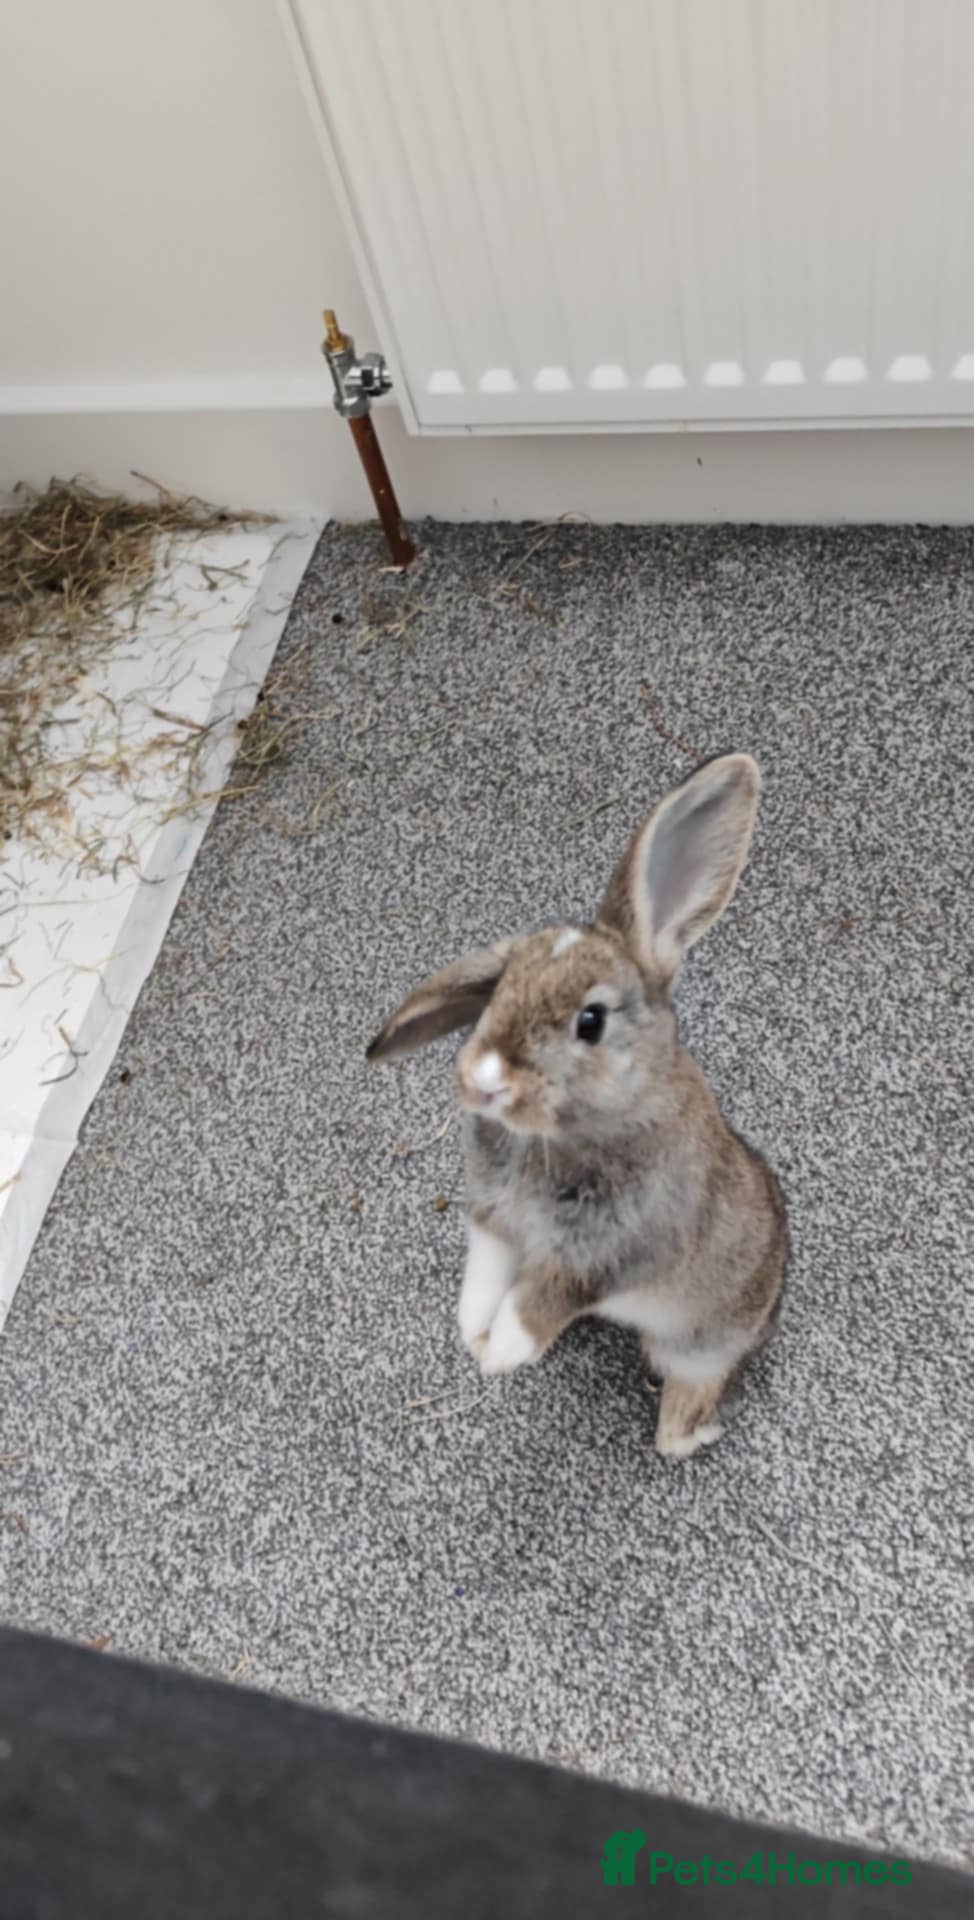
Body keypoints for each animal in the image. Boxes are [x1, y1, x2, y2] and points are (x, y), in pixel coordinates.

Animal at [367, 753, 786, 1457]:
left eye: (591, 1021)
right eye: (499, 991)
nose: (483, 1079)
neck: (553, 1138)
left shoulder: (606, 1257)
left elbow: (539, 1306)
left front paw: (500, 1354)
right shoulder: (495, 1222)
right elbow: (485, 1278)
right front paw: (472, 1333)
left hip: (696, 1343)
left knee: (688, 1399)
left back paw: (691, 1435)